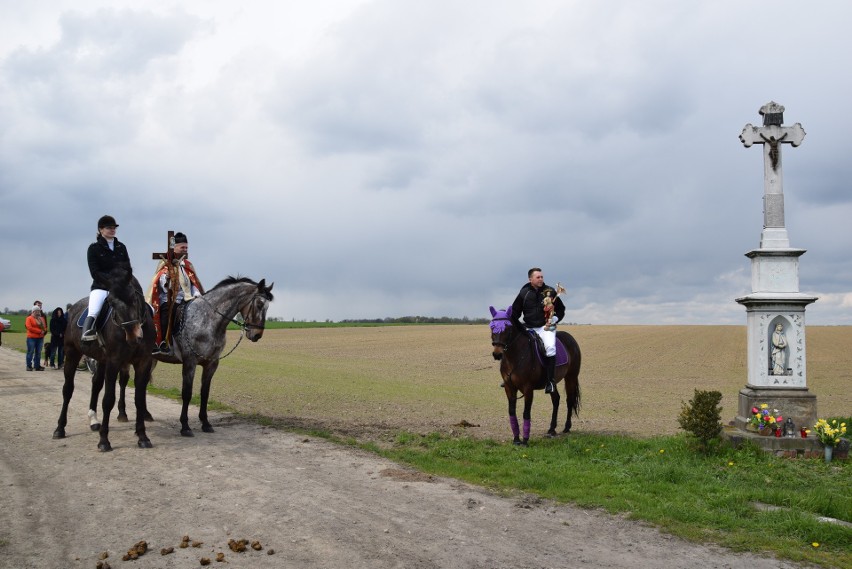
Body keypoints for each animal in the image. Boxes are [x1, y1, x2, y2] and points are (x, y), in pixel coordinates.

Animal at [52, 268, 156, 450]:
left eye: (134, 298)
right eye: (111, 303)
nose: (133, 336)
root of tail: (72, 309)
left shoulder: (143, 362)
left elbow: (139, 399)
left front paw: (142, 436)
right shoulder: (114, 362)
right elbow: (108, 400)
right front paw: (104, 441)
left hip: (101, 360)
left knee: (96, 385)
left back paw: (93, 420)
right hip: (72, 354)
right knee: (68, 389)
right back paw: (60, 428)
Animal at [151, 276, 272, 434]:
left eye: (267, 307)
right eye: (259, 304)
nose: (257, 335)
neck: (207, 320)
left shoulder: (211, 364)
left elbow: (205, 393)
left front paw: (206, 423)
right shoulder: (190, 362)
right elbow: (187, 393)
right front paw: (185, 426)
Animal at [490, 306, 584, 444]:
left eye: (507, 328)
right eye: (491, 327)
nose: (497, 354)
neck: (515, 357)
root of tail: (570, 338)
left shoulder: (528, 388)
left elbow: (526, 412)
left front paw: (525, 441)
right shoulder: (509, 387)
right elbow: (511, 411)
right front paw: (516, 439)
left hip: (571, 377)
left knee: (569, 400)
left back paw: (567, 427)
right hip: (553, 382)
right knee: (556, 400)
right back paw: (552, 429)